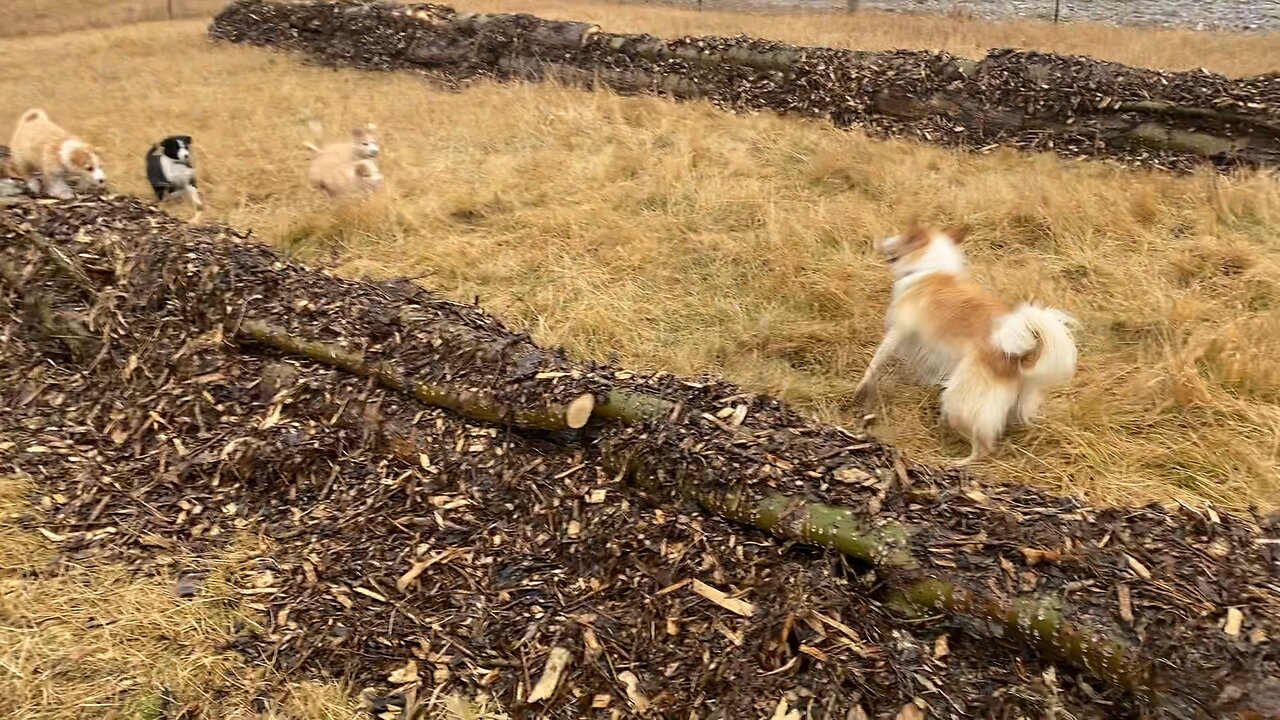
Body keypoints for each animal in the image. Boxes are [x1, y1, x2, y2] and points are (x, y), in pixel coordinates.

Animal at [855, 221, 1075, 461]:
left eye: (903, 236)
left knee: (983, 448)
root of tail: (1018, 357)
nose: (883, 241)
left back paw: (957, 462)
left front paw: (860, 388)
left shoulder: (897, 332)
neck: (929, 269)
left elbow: (875, 363)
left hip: (958, 401)